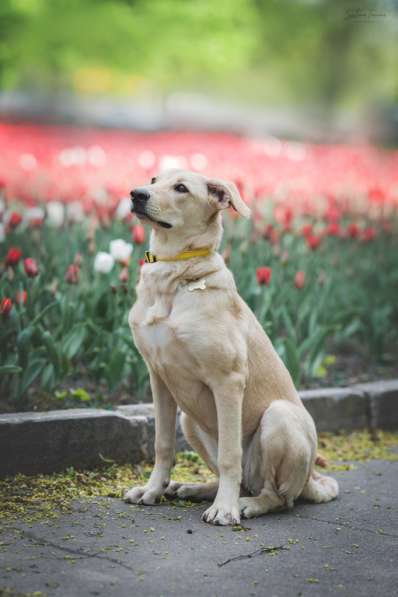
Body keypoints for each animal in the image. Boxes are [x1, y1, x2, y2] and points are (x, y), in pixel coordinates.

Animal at [125, 170, 338, 524]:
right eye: (154, 179)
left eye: (181, 188)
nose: (136, 194)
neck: (174, 272)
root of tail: (311, 479)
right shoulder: (159, 377)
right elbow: (162, 445)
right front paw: (152, 490)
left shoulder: (227, 380)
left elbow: (229, 454)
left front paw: (224, 509)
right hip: (188, 419)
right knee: (245, 482)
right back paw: (195, 488)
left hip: (279, 418)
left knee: (276, 496)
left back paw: (245, 504)